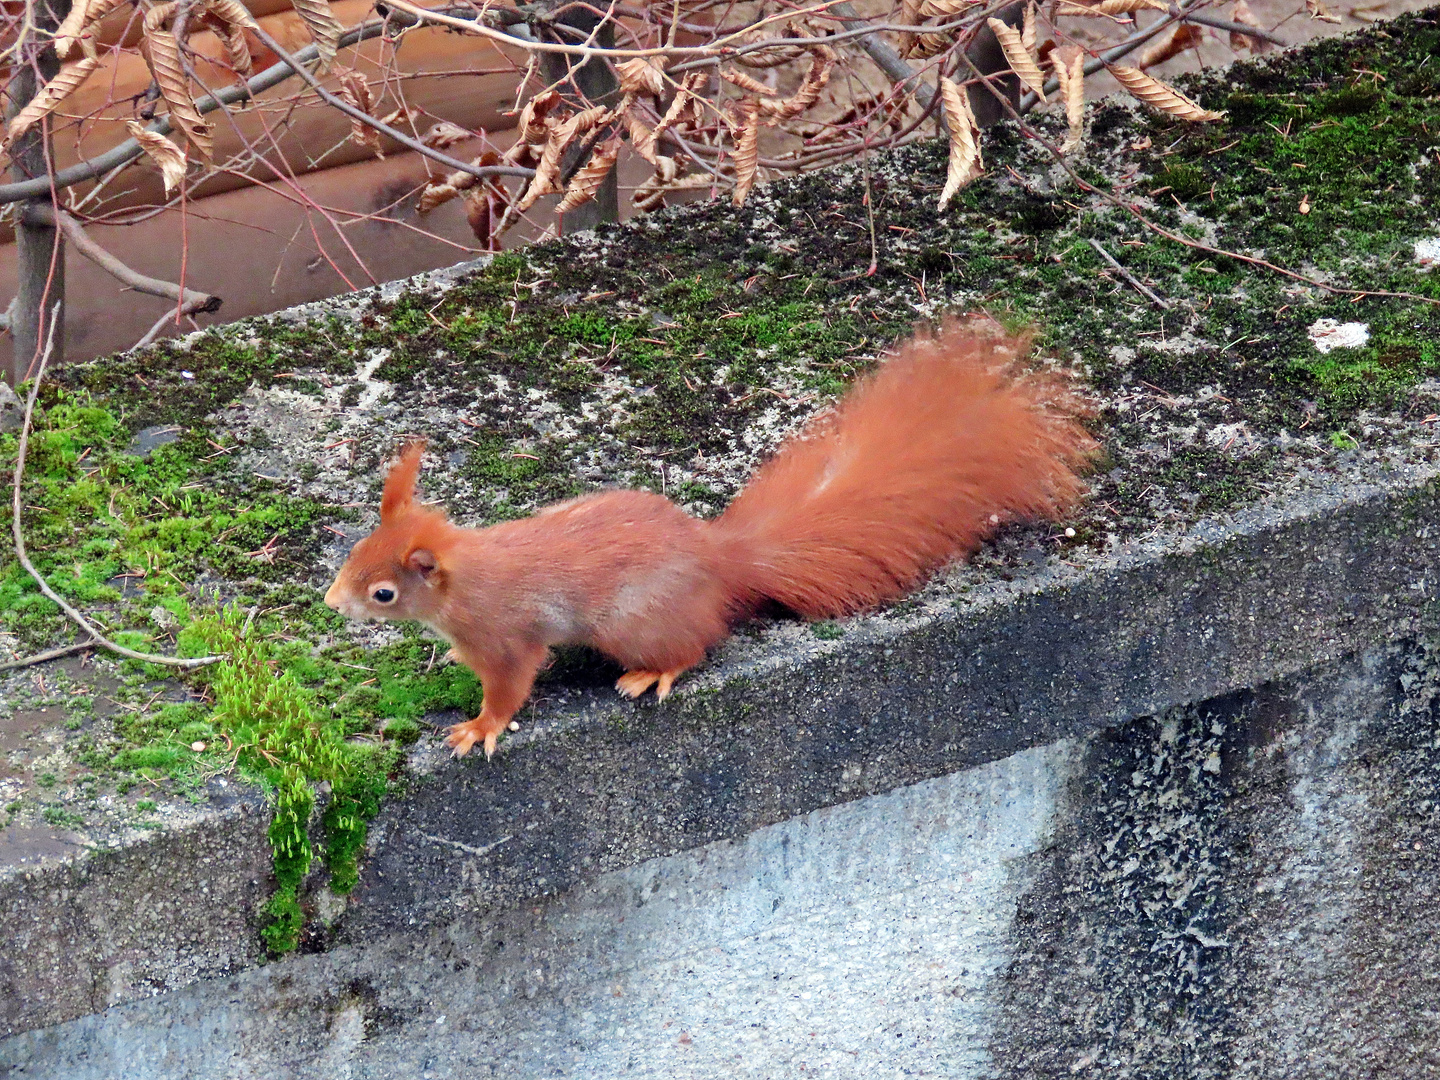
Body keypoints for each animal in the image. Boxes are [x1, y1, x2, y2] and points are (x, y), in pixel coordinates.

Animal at [324, 321, 1088, 760]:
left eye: (383, 592)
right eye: (353, 554)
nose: (333, 603)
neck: (466, 580)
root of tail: (721, 562)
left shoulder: (508, 638)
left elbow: (510, 687)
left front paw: (480, 727)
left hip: (635, 622)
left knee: (696, 645)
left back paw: (653, 674)